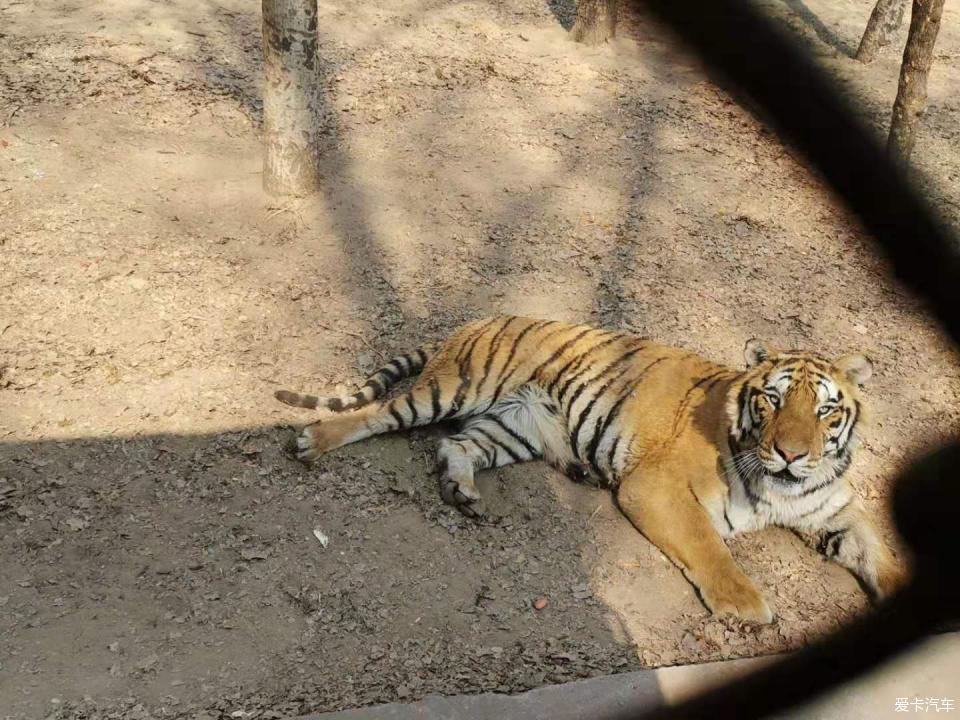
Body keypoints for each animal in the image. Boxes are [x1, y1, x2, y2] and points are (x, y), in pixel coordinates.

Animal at [274, 316, 904, 624]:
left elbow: (880, 552)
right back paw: (310, 440)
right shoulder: (657, 488)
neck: (784, 486)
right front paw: (746, 608)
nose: (793, 454)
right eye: (772, 401)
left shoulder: (837, 512)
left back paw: (462, 492)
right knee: (379, 414)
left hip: (515, 427)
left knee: (457, 446)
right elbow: (710, 549)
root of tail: (480, 318)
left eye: (825, 410)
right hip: (454, 389)